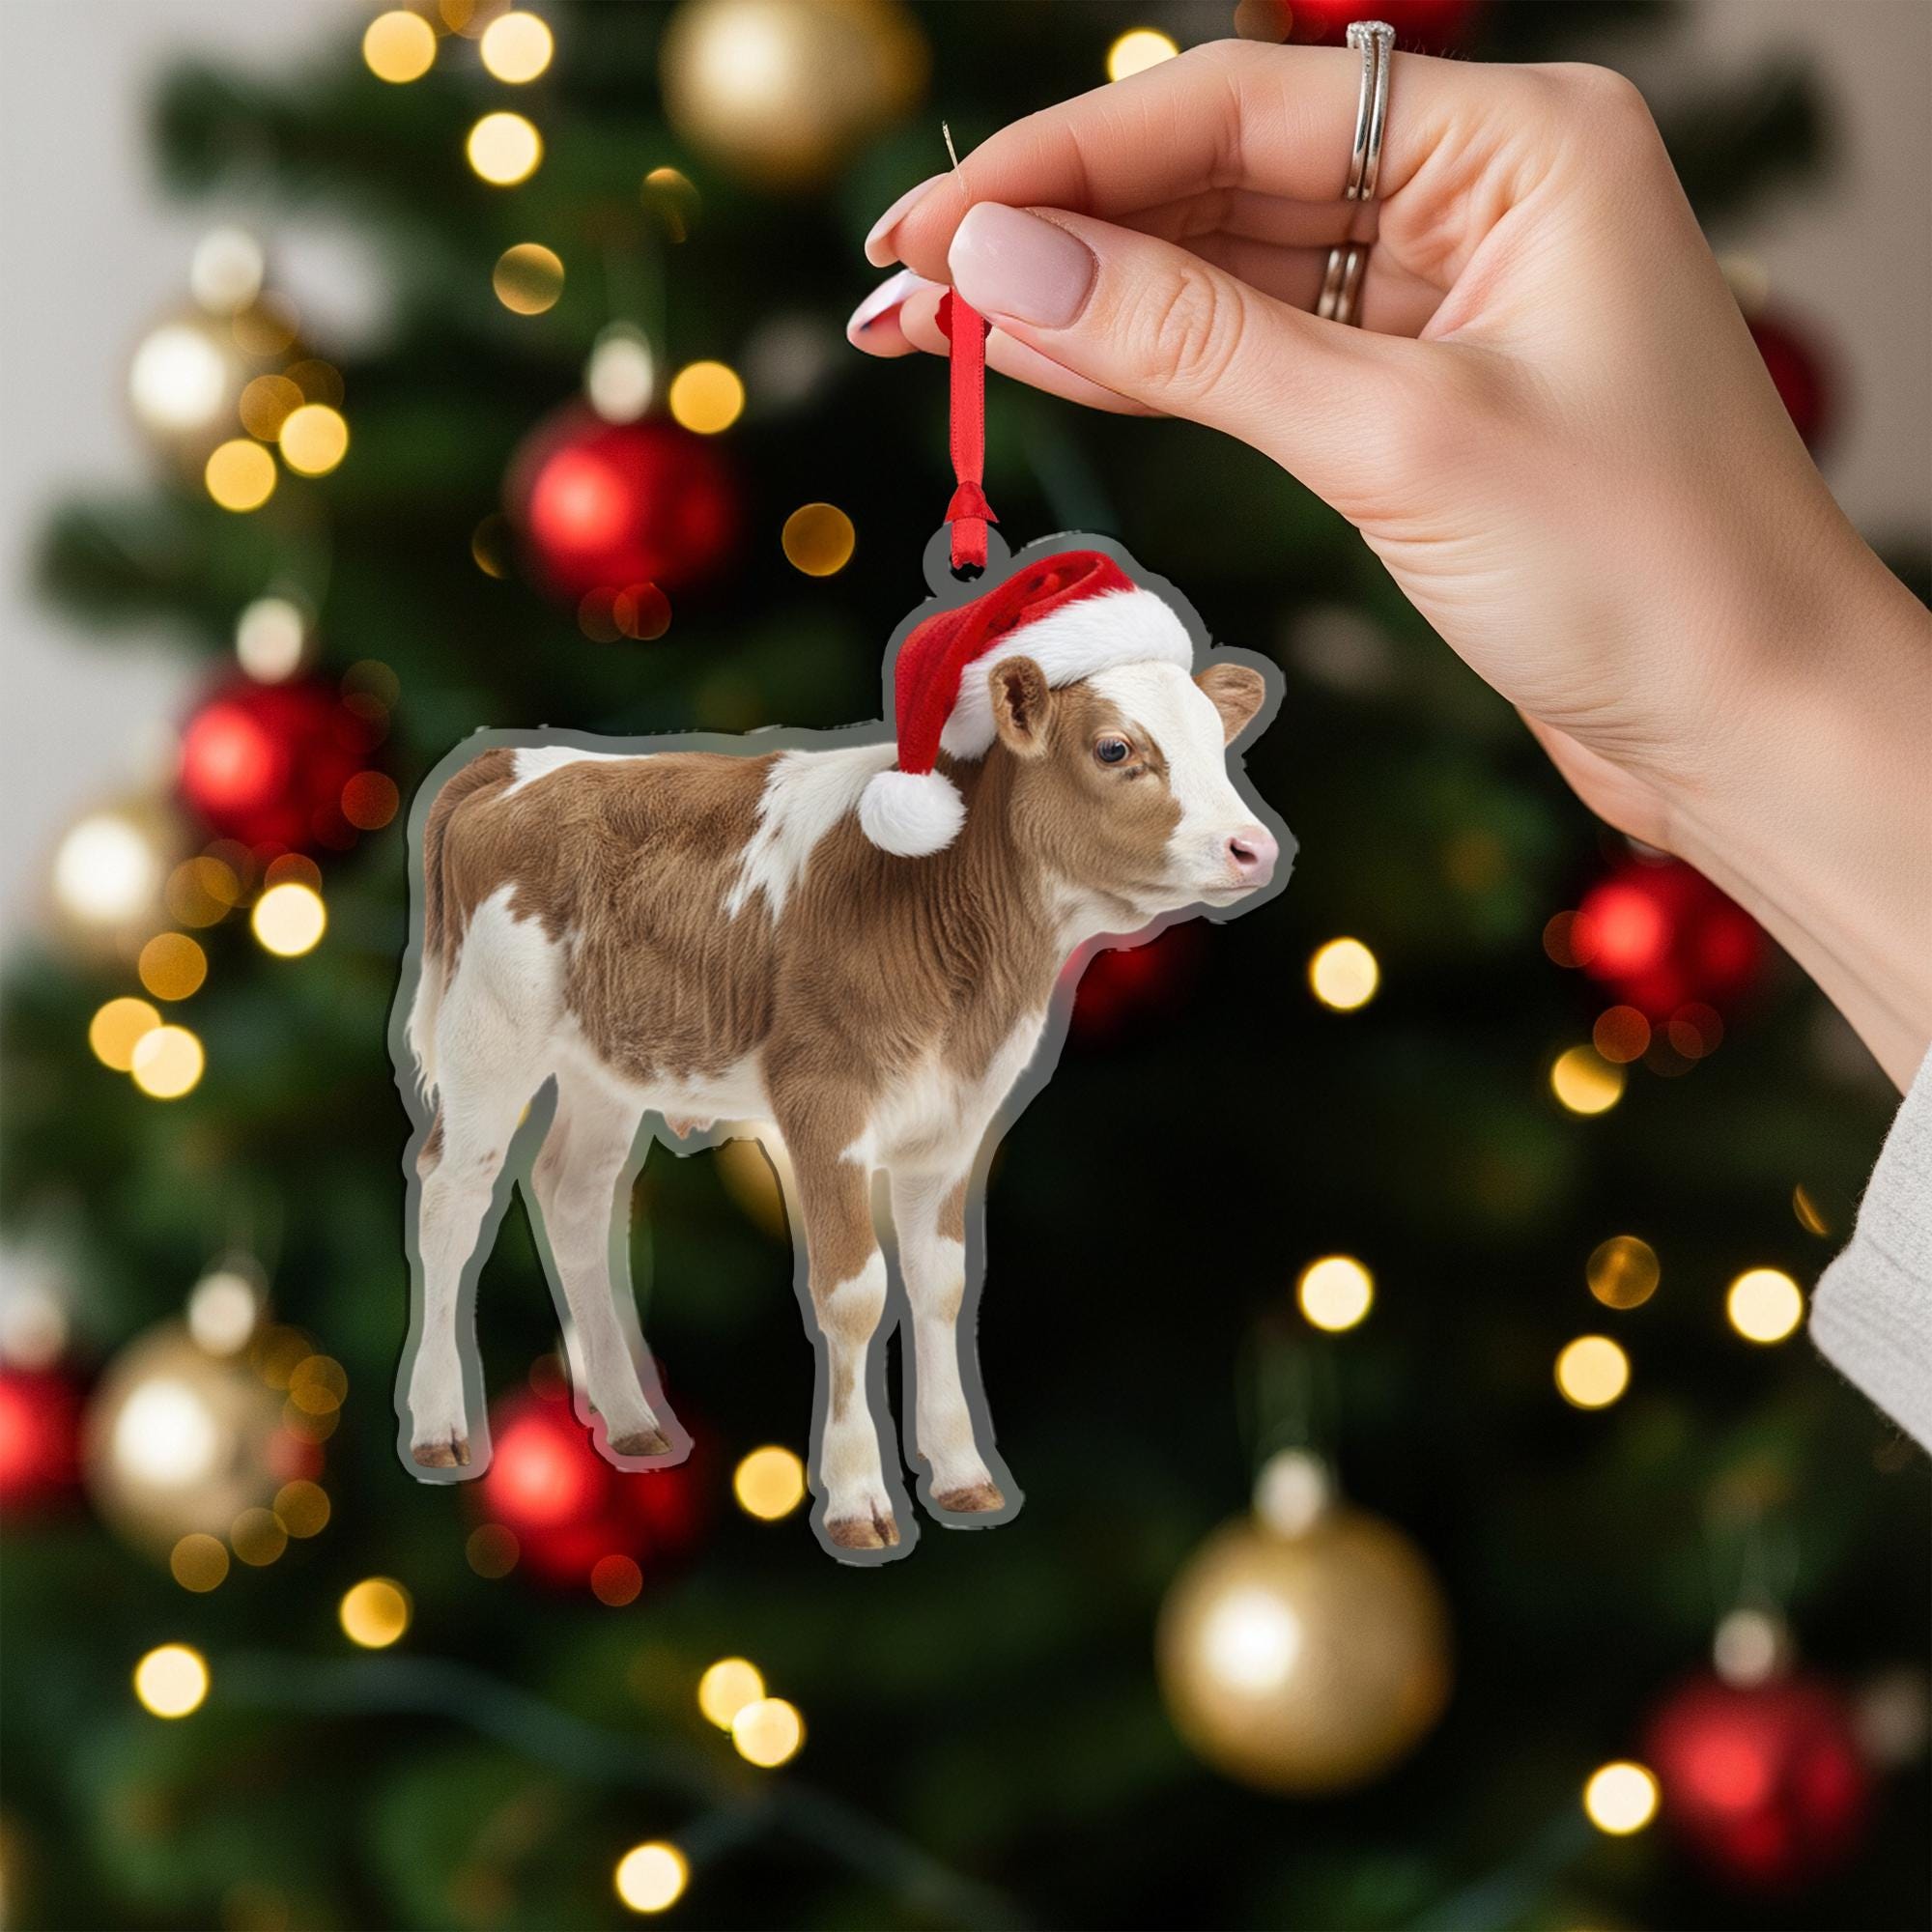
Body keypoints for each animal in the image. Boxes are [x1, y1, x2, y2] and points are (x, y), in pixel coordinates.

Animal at [395, 550, 1286, 1556]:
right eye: (1114, 750)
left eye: (1216, 742)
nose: (1253, 847)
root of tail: (521, 759)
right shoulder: (822, 1103)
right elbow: (855, 1291)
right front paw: (860, 1500)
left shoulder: (955, 1119)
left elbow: (941, 1286)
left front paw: (963, 1475)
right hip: (489, 1038)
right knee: (453, 1194)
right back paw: (439, 1428)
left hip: (607, 1066)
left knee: (574, 1197)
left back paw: (630, 1422)